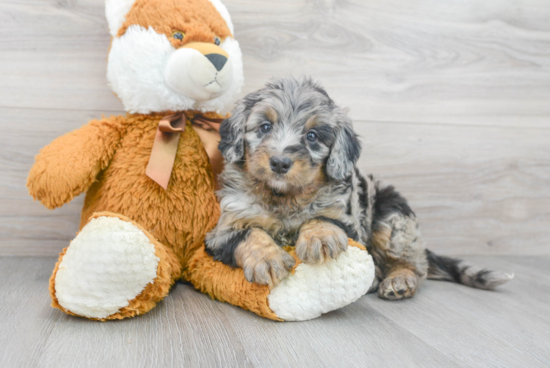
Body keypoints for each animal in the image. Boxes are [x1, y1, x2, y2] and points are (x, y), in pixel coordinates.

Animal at [205, 77, 516, 300]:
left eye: (312, 136)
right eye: (265, 127)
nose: (280, 162)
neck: (284, 197)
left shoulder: (348, 219)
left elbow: (321, 218)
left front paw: (320, 238)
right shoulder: (223, 230)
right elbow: (251, 233)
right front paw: (268, 259)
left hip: (392, 219)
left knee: (415, 265)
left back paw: (399, 280)